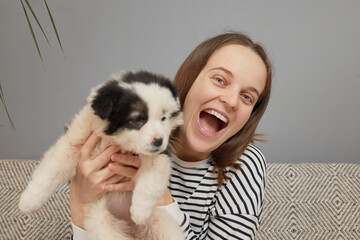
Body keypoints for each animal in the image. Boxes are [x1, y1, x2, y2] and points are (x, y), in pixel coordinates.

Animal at [17, 71, 183, 240]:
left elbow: (151, 181)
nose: (159, 141)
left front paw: (140, 212)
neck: (117, 142)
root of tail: (132, 231)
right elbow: (51, 171)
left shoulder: (159, 155)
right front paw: (29, 201)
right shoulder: (75, 140)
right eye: (137, 119)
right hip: (103, 224)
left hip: (162, 224)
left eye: (163, 118)